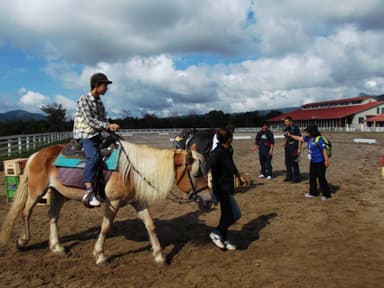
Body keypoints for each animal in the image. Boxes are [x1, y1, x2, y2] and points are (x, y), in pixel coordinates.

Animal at [0, 141, 208, 264]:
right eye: (197, 173)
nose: (208, 202)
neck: (132, 172)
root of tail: (36, 155)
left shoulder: (139, 202)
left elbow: (150, 225)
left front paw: (159, 255)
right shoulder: (113, 203)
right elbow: (106, 228)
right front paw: (99, 255)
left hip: (58, 194)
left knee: (53, 217)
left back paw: (57, 247)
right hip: (36, 192)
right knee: (26, 212)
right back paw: (23, 241)